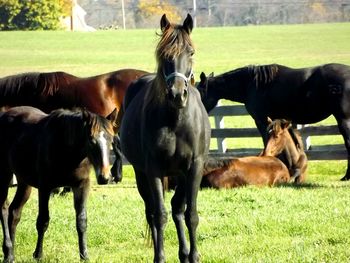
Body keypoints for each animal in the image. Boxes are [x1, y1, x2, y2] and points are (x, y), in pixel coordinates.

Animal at [0, 106, 115, 262]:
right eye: (91, 141)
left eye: (111, 140)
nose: (104, 177)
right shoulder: (45, 187)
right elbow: (43, 221)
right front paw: (38, 255)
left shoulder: (81, 186)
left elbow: (81, 221)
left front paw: (84, 255)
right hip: (4, 175)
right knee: (4, 209)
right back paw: (8, 250)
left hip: (24, 182)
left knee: (14, 212)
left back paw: (11, 254)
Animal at [119, 14, 211, 263]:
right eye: (164, 54)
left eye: (191, 52)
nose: (178, 94)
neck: (176, 121)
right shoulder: (154, 170)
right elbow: (159, 215)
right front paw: (159, 257)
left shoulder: (194, 167)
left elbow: (190, 214)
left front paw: (194, 256)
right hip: (141, 174)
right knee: (151, 211)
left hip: (180, 174)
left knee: (178, 208)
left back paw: (184, 253)